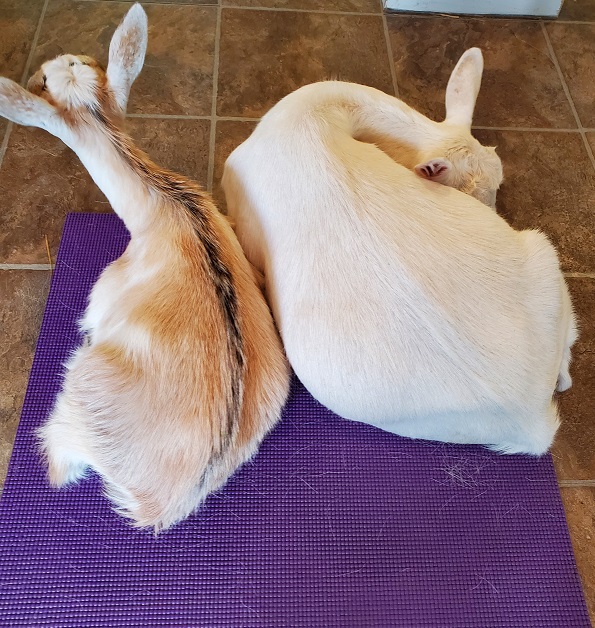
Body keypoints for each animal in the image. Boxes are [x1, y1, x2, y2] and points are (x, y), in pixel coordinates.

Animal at [0, 4, 292, 532]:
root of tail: (161, 504)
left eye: (45, 81)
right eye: (78, 62)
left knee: (58, 458)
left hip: (78, 394)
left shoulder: (104, 294)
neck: (164, 204)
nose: (38, 72)